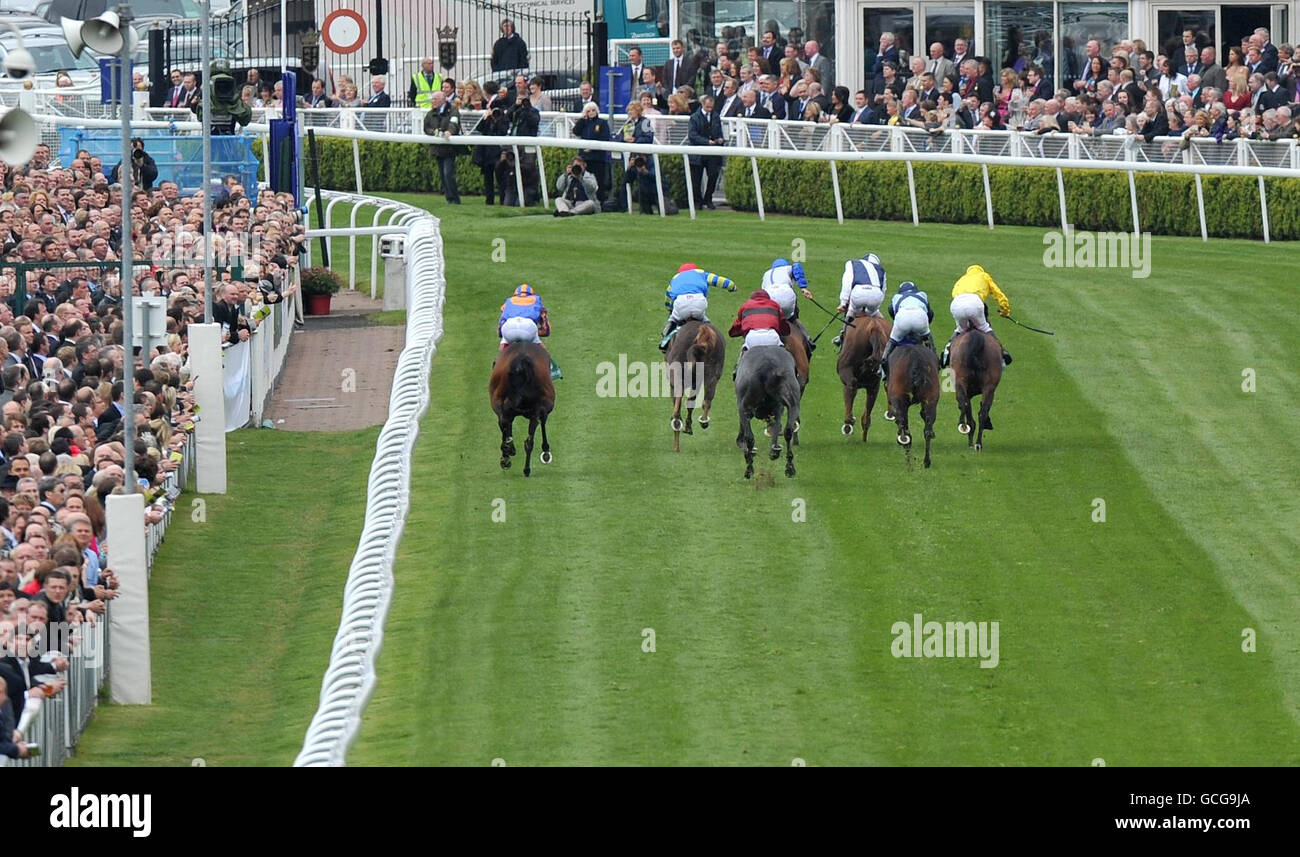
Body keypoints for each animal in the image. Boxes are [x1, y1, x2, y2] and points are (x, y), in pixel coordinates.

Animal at [486, 340, 551, 475]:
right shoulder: (541, 409)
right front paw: (546, 451)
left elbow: (505, 425)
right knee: (529, 441)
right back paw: (525, 468)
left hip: (499, 401)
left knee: (505, 424)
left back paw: (507, 455)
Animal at [665, 319, 728, 452]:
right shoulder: (697, 381)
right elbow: (691, 402)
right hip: (712, 375)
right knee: (707, 401)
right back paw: (703, 422)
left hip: (678, 375)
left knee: (677, 411)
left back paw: (676, 444)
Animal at [733, 345, 800, 478]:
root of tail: (767, 366)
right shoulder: (777, 409)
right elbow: (776, 428)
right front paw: (774, 451)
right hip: (793, 401)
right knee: (788, 430)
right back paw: (789, 467)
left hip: (744, 406)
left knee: (749, 437)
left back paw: (749, 467)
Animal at [832, 314, 894, 442]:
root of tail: (874, 327)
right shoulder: (873, 384)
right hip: (874, 384)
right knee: (866, 418)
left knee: (852, 386)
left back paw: (848, 424)